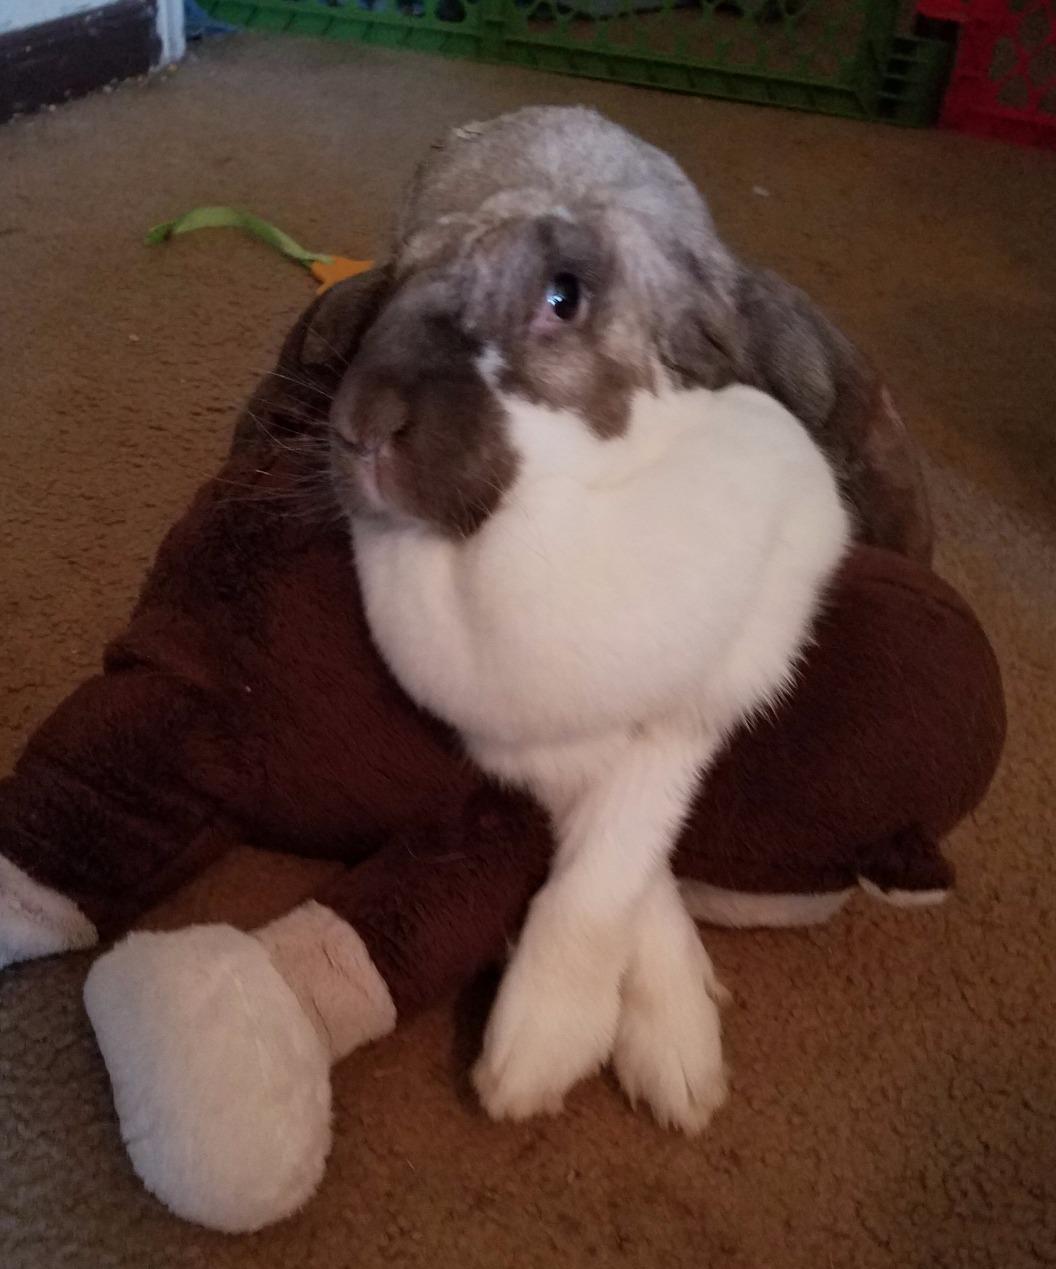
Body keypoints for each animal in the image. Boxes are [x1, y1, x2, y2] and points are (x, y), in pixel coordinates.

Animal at [328, 107, 851, 1133]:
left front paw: (566, 1051)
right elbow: (615, 859)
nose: (363, 423)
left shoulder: (703, 700)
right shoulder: (522, 739)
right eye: (392, 290)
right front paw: (646, 1023)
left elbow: (618, 851)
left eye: (563, 298)